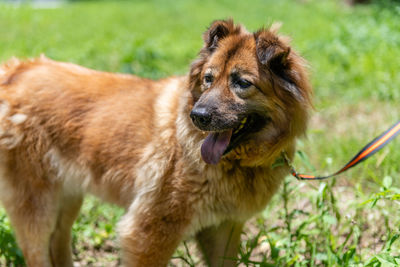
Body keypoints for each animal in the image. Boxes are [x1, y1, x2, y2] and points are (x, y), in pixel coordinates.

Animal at [0, 19, 310, 266]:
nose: (197, 116)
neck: (235, 162)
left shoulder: (224, 227)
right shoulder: (149, 232)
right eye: (208, 79)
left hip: (68, 197)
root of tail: (15, 71)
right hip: (37, 205)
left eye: (242, 83)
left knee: (59, 240)